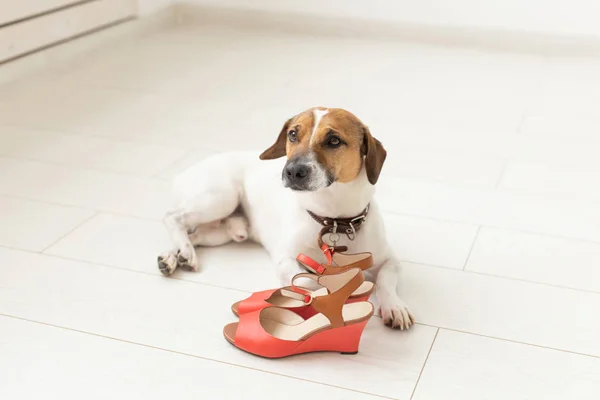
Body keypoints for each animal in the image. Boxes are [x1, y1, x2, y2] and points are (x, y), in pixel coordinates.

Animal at [157, 106, 414, 328]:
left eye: (334, 140)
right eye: (292, 134)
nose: (292, 171)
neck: (333, 220)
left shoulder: (389, 260)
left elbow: (386, 280)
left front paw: (394, 306)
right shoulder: (286, 259)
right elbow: (305, 281)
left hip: (220, 232)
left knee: (195, 233)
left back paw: (174, 256)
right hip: (221, 198)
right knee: (173, 217)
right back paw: (183, 252)